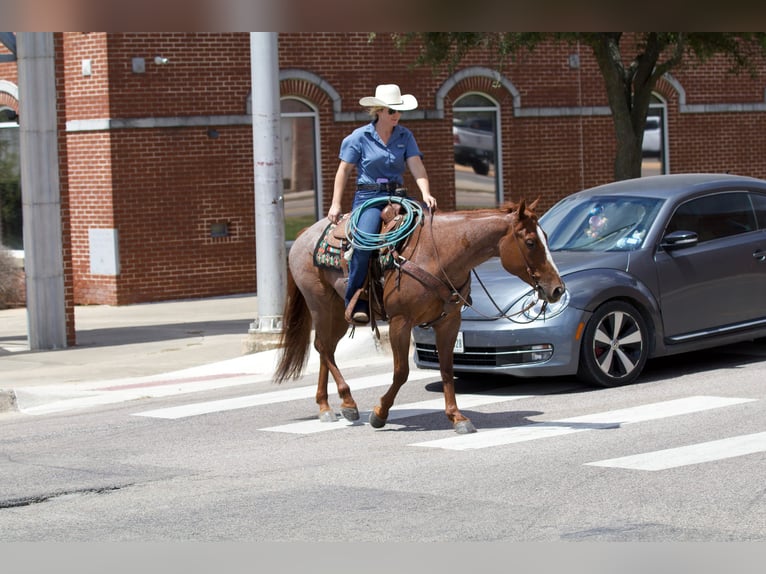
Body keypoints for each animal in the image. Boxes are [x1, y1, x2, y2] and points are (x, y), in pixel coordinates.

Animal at [274, 200, 564, 434]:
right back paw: (347, 402)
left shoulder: (449, 322)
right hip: (320, 304)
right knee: (323, 347)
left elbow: (447, 368)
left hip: (339, 312)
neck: (438, 255)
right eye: (530, 242)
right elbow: (401, 372)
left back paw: (326, 406)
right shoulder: (401, 322)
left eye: (546, 238)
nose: (557, 289)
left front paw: (457, 417)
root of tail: (303, 234)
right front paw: (380, 414)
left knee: (326, 349)